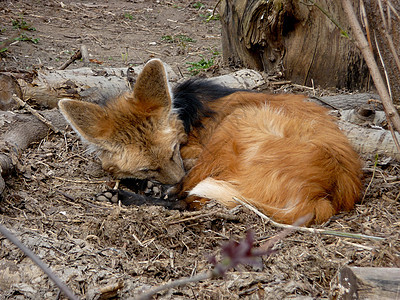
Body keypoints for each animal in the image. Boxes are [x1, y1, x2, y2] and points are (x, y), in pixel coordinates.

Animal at [58, 58, 362, 225]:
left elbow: (182, 188)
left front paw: (143, 190)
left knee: (189, 200)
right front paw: (147, 184)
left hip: (240, 121)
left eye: (172, 152)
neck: (185, 113)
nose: (172, 179)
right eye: (148, 167)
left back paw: (126, 196)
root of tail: (325, 196)